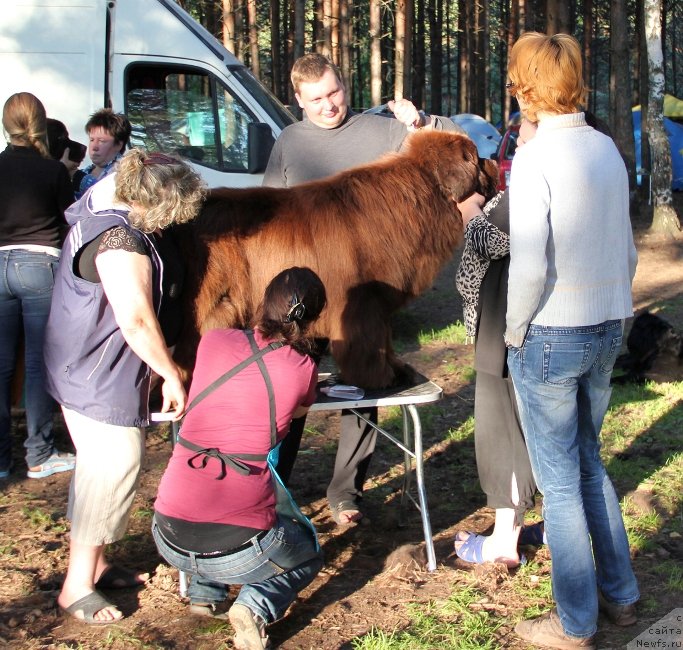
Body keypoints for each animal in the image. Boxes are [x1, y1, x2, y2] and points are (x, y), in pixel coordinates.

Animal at [176, 129, 496, 388]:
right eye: (477, 158)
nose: (496, 161)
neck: (418, 198)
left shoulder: (379, 305)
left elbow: (385, 340)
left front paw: (396, 369)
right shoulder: (362, 303)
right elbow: (368, 343)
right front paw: (379, 378)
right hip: (216, 304)